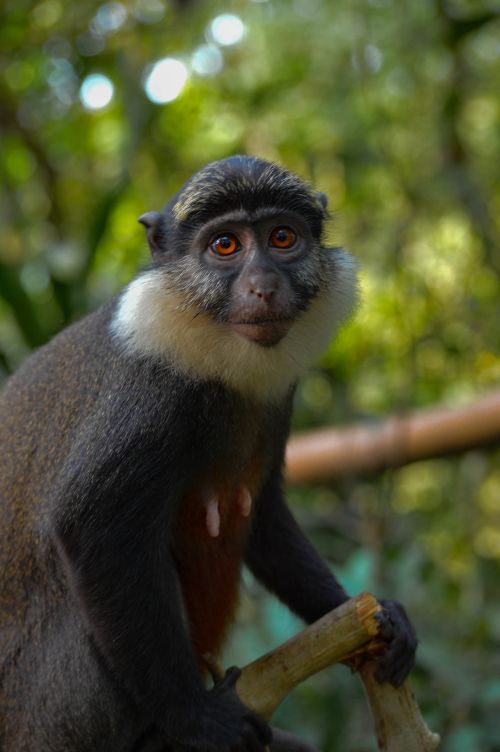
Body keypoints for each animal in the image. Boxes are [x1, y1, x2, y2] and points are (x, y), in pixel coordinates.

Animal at [0, 156, 417, 752]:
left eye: (282, 236)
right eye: (225, 245)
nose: (264, 286)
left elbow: (264, 516)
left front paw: (372, 617)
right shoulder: (151, 393)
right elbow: (89, 527)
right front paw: (194, 716)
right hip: (50, 713)